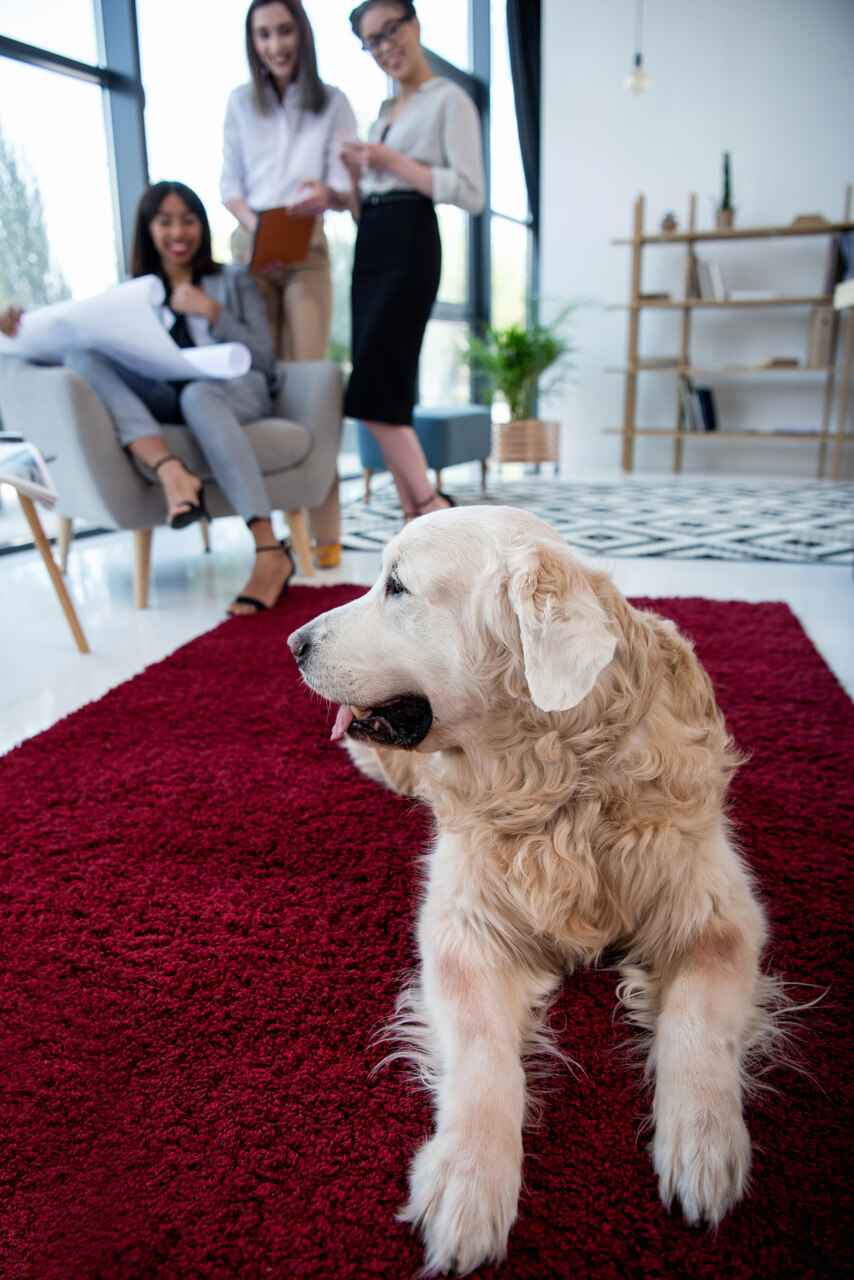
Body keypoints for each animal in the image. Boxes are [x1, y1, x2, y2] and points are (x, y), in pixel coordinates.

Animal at [289, 504, 783, 1274]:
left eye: (396, 586)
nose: (292, 643)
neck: (557, 778)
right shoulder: (463, 928)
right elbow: (483, 1047)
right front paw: (468, 1180)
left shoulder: (715, 908)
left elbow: (700, 1017)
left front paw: (704, 1143)